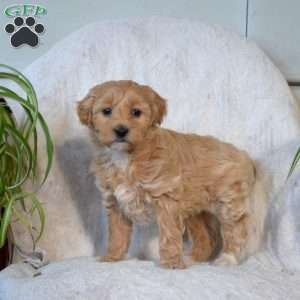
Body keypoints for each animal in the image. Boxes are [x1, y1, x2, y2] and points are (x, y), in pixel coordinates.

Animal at [78, 80, 268, 270]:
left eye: (136, 112)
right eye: (106, 111)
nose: (121, 130)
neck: (125, 157)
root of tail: (243, 155)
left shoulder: (166, 198)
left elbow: (169, 234)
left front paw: (172, 264)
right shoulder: (115, 201)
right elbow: (117, 233)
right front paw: (113, 257)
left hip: (228, 202)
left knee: (235, 230)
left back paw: (228, 259)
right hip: (195, 210)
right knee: (206, 238)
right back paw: (192, 259)